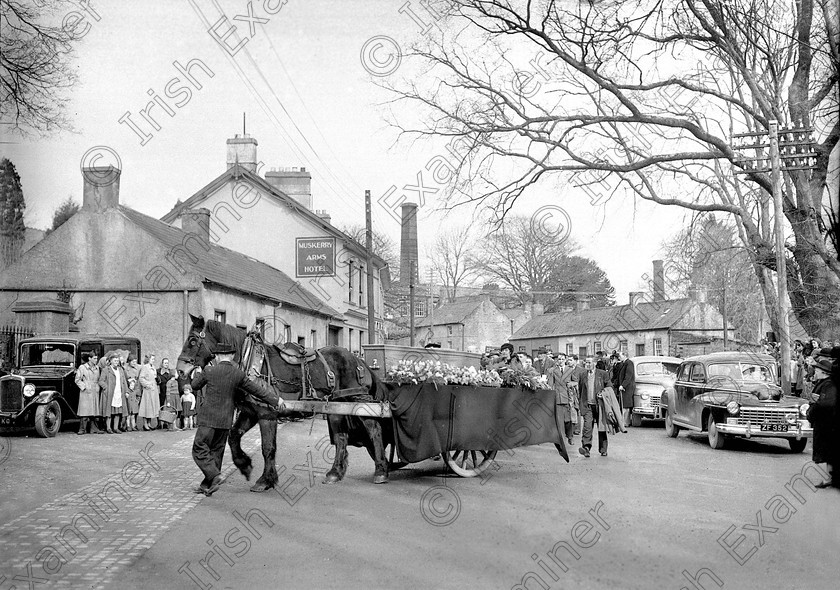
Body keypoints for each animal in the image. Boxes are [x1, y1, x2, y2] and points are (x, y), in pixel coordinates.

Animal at [176, 314, 392, 490]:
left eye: (193, 340)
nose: (180, 369)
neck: (250, 362)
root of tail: (358, 360)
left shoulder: (267, 414)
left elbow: (268, 447)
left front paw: (265, 480)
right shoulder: (250, 412)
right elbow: (234, 436)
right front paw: (244, 465)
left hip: (357, 400)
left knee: (374, 429)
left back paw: (381, 470)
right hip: (335, 407)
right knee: (341, 437)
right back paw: (335, 473)